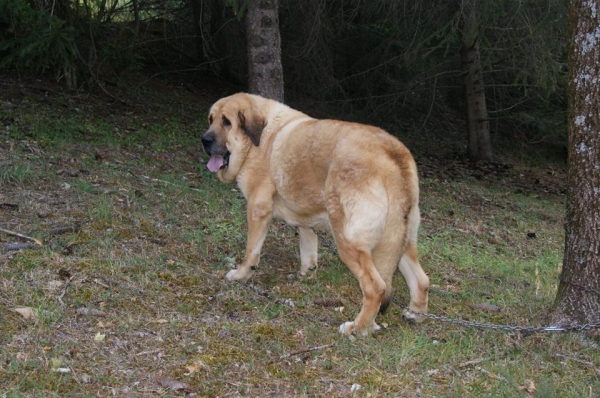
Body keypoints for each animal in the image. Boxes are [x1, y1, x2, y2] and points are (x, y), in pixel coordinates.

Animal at [204, 93, 428, 336]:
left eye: (227, 122)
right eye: (211, 120)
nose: (204, 140)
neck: (259, 141)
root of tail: (394, 153)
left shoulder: (257, 209)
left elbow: (251, 252)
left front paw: (241, 274)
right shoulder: (305, 219)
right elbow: (308, 248)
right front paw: (306, 273)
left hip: (349, 240)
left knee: (376, 287)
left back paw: (357, 328)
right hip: (399, 241)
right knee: (421, 280)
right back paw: (415, 314)